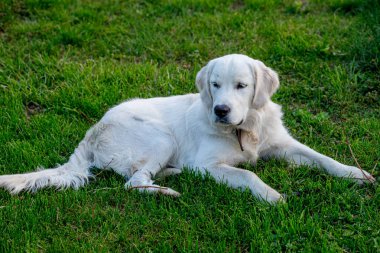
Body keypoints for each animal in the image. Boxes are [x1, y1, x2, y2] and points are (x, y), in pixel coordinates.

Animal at [0, 53, 374, 204]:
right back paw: (168, 191)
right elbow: (248, 174)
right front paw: (273, 196)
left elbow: (322, 158)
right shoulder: (207, 163)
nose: (221, 110)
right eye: (215, 85)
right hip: (159, 137)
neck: (244, 129)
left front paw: (356, 173)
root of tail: (92, 131)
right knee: (133, 182)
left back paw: (170, 175)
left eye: (241, 86)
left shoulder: (282, 144)